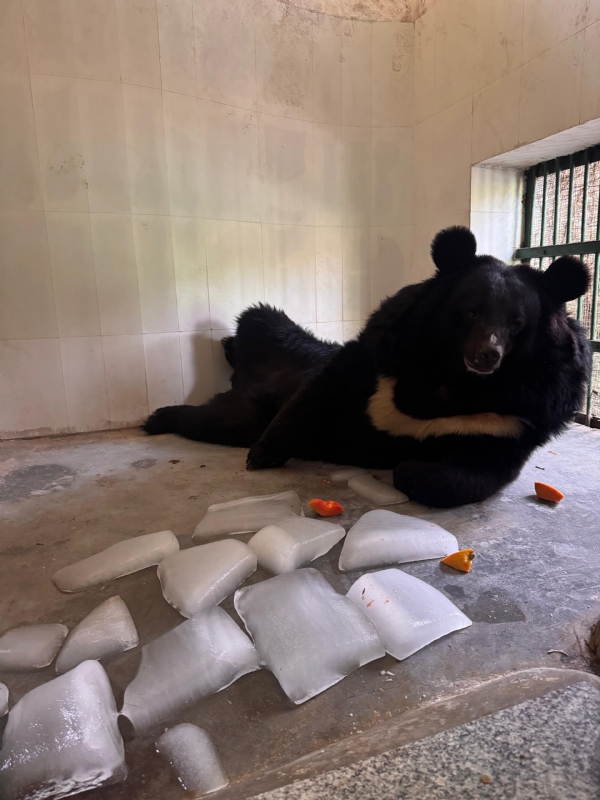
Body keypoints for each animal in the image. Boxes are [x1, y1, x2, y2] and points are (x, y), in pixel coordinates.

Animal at [143, 226, 591, 508]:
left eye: (516, 324)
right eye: (471, 311)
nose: (487, 355)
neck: (455, 376)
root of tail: (242, 382)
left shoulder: (515, 416)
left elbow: (473, 472)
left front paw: (412, 465)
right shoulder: (386, 348)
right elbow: (322, 391)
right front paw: (262, 456)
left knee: (220, 417)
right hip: (279, 350)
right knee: (257, 322)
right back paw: (161, 414)